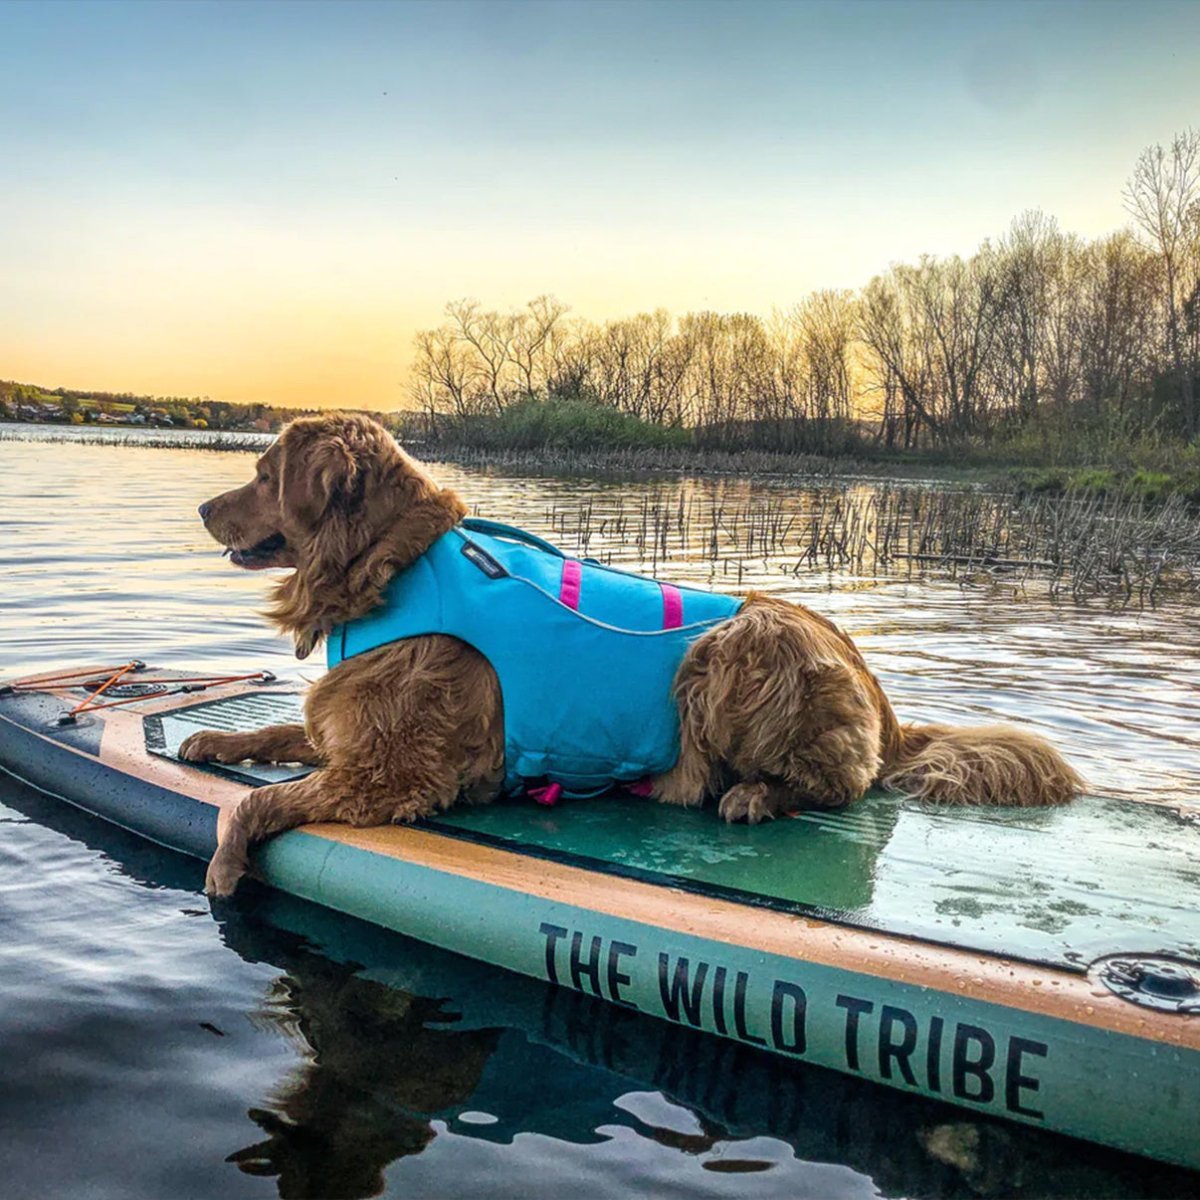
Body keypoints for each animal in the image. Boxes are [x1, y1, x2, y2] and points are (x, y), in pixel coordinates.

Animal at [180, 412, 1089, 892]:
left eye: (262, 473)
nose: (200, 507)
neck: (388, 569)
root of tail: (870, 676)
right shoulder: (347, 735)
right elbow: (277, 734)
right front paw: (214, 741)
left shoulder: (390, 773)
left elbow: (253, 806)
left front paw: (225, 868)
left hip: (739, 647)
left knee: (838, 784)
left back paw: (751, 795)